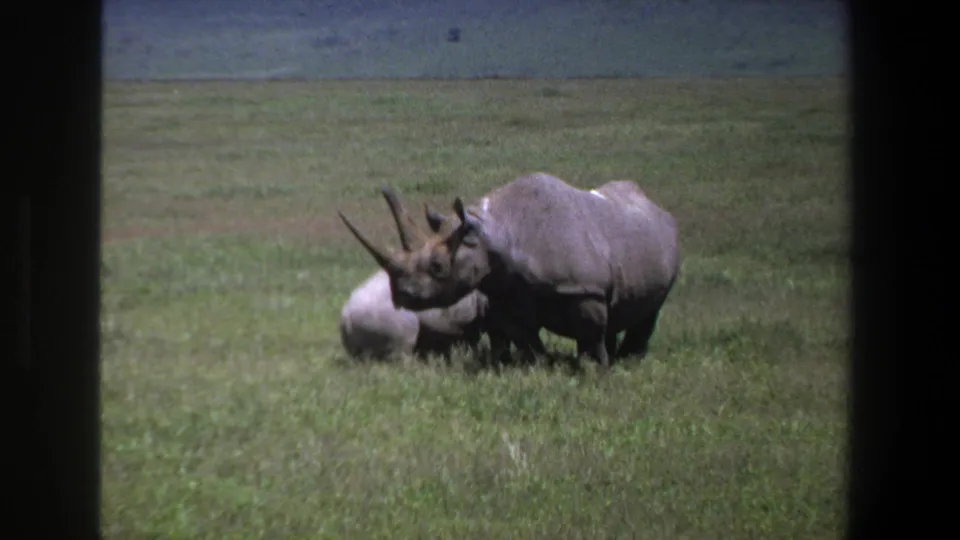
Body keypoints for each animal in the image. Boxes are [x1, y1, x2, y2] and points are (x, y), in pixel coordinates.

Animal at [338, 172, 681, 371]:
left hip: (658, 239)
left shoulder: (584, 288)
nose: (401, 295)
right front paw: (538, 367)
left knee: (650, 306)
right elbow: (523, 337)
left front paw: (594, 370)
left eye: (437, 267)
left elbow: (590, 332)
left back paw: (628, 360)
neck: (496, 233)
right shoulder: (507, 295)